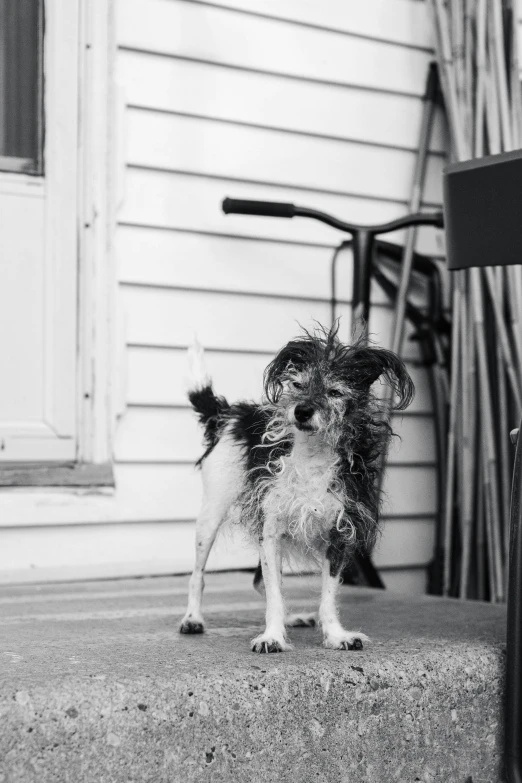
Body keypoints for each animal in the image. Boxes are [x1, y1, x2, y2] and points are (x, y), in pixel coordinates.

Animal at [181, 322, 412, 652]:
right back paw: (192, 618)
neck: (312, 454)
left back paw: (292, 618)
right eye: (298, 385)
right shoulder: (270, 530)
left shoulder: (339, 534)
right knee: (199, 574)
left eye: (335, 392)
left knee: (261, 581)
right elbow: (275, 592)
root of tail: (230, 414)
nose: (301, 411)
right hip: (211, 514)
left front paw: (335, 635)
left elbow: (326, 596)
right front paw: (272, 637)